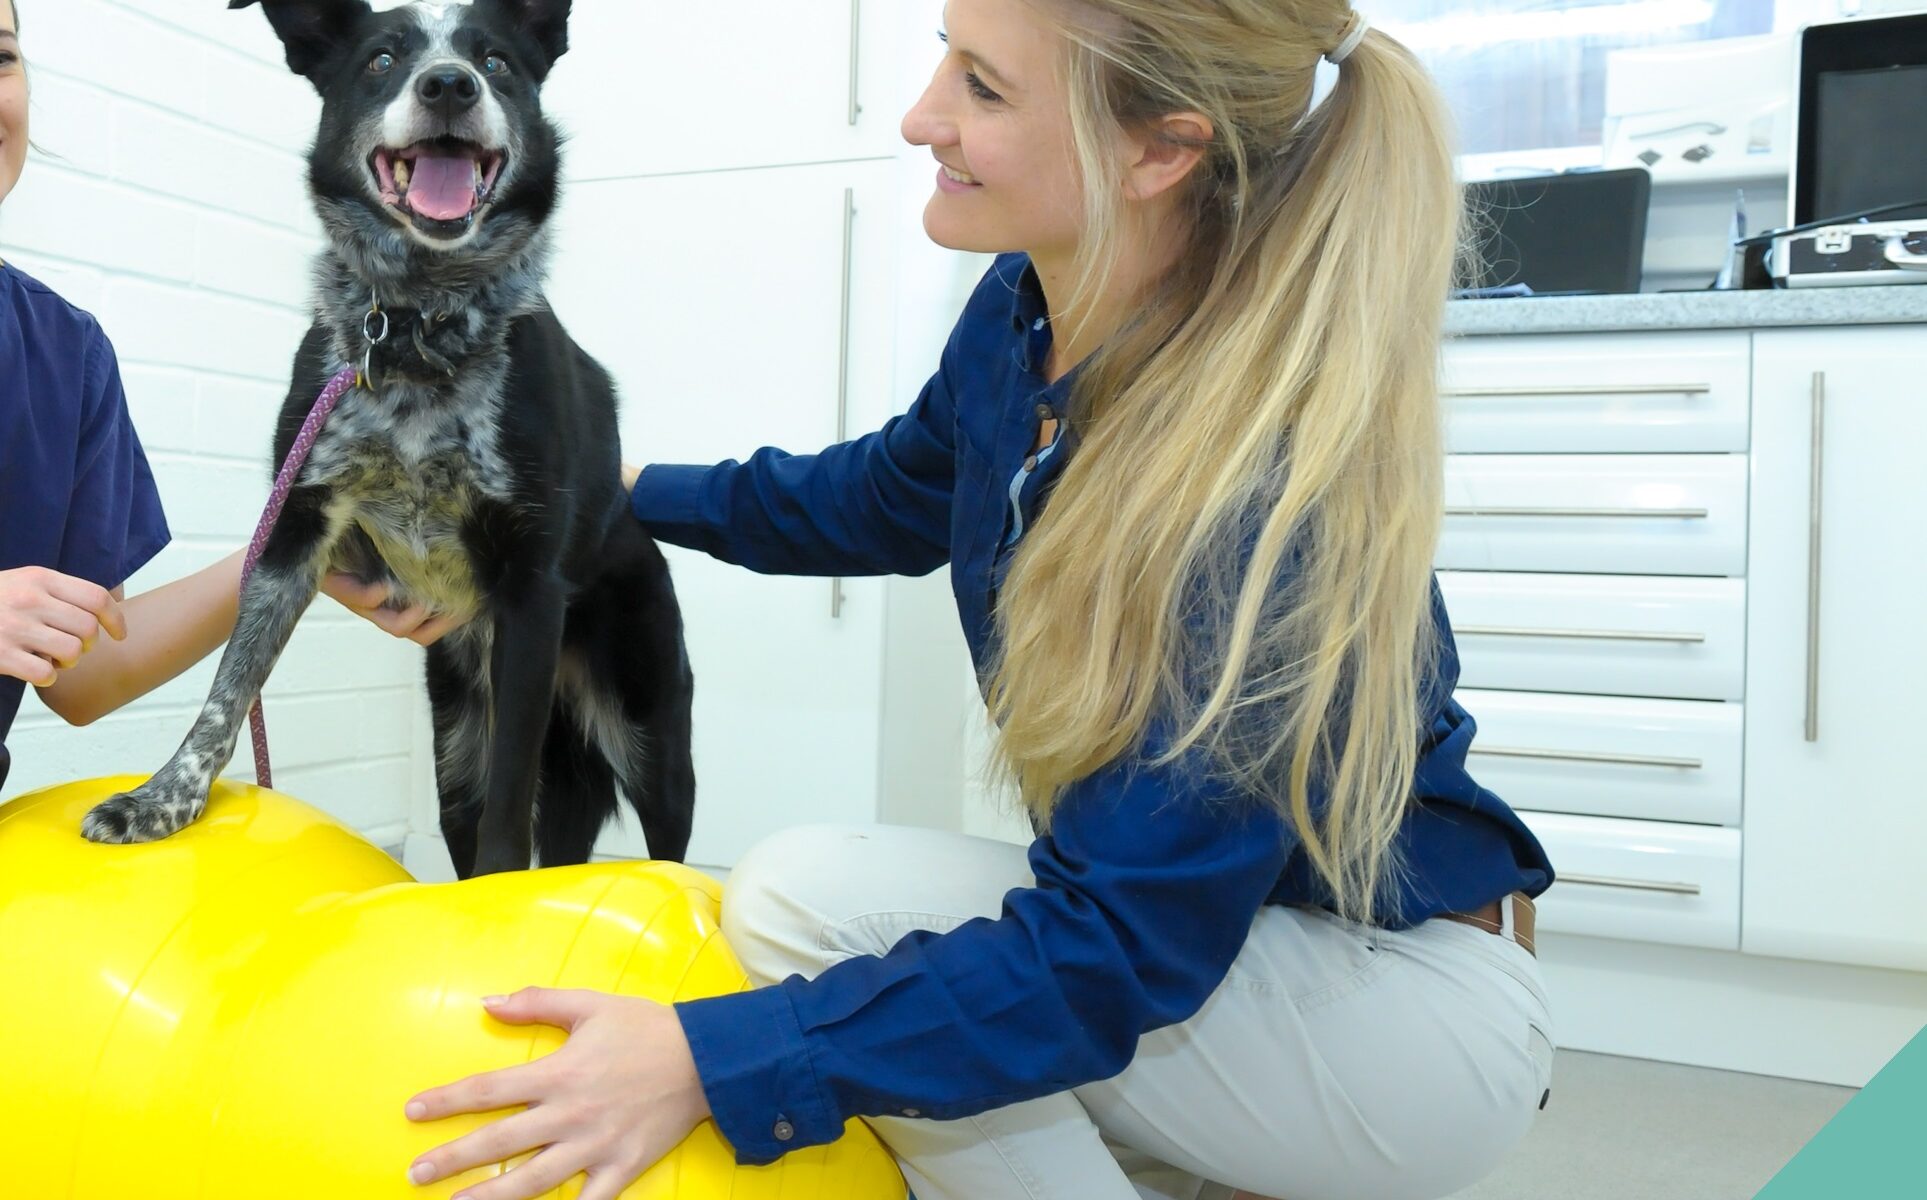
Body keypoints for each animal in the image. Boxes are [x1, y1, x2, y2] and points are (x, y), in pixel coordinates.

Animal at [86, 0, 701, 882]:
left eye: (495, 60)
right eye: (381, 60)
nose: (448, 84)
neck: (417, 321)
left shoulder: (531, 588)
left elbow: (510, 806)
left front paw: (496, 901)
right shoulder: (295, 530)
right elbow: (228, 686)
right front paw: (160, 799)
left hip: (650, 737)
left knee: (665, 845)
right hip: (456, 741)